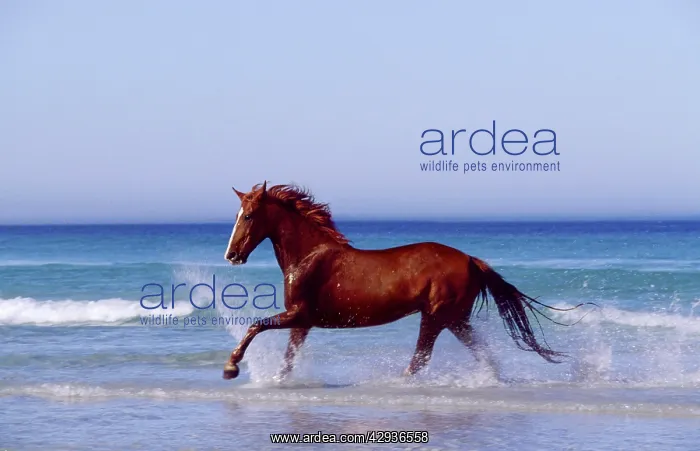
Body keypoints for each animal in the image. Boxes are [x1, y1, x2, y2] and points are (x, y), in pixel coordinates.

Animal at [221, 182, 587, 380]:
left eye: (248, 216)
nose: (231, 255)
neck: (310, 256)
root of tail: (471, 259)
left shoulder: (299, 314)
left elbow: (255, 326)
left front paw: (231, 367)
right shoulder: (302, 323)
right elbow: (287, 359)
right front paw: (274, 379)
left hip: (436, 316)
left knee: (420, 359)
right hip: (454, 319)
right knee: (479, 352)